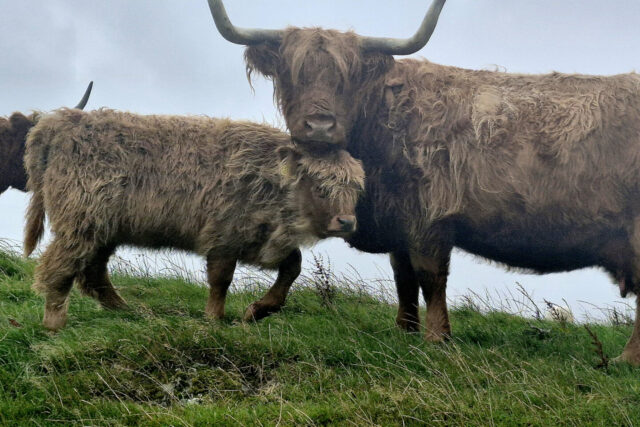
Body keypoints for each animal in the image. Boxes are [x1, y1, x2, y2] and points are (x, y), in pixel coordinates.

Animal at [23, 108, 364, 331]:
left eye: (356, 189)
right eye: (321, 187)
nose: (346, 222)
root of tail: (61, 121)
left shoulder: (260, 241)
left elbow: (292, 267)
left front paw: (258, 310)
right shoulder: (223, 238)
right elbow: (221, 280)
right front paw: (215, 318)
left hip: (104, 231)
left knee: (93, 272)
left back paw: (127, 311)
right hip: (81, 223)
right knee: (60, 267)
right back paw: (54, 322)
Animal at [208, 0, 640, 365]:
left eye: (348, 78)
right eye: (290, 73)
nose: (319, 125)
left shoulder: (429, 218)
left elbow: (431, 277)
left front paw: (437, 337)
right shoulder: (400, 223)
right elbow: (404, 277)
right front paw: (405, 330)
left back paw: (626, 359)